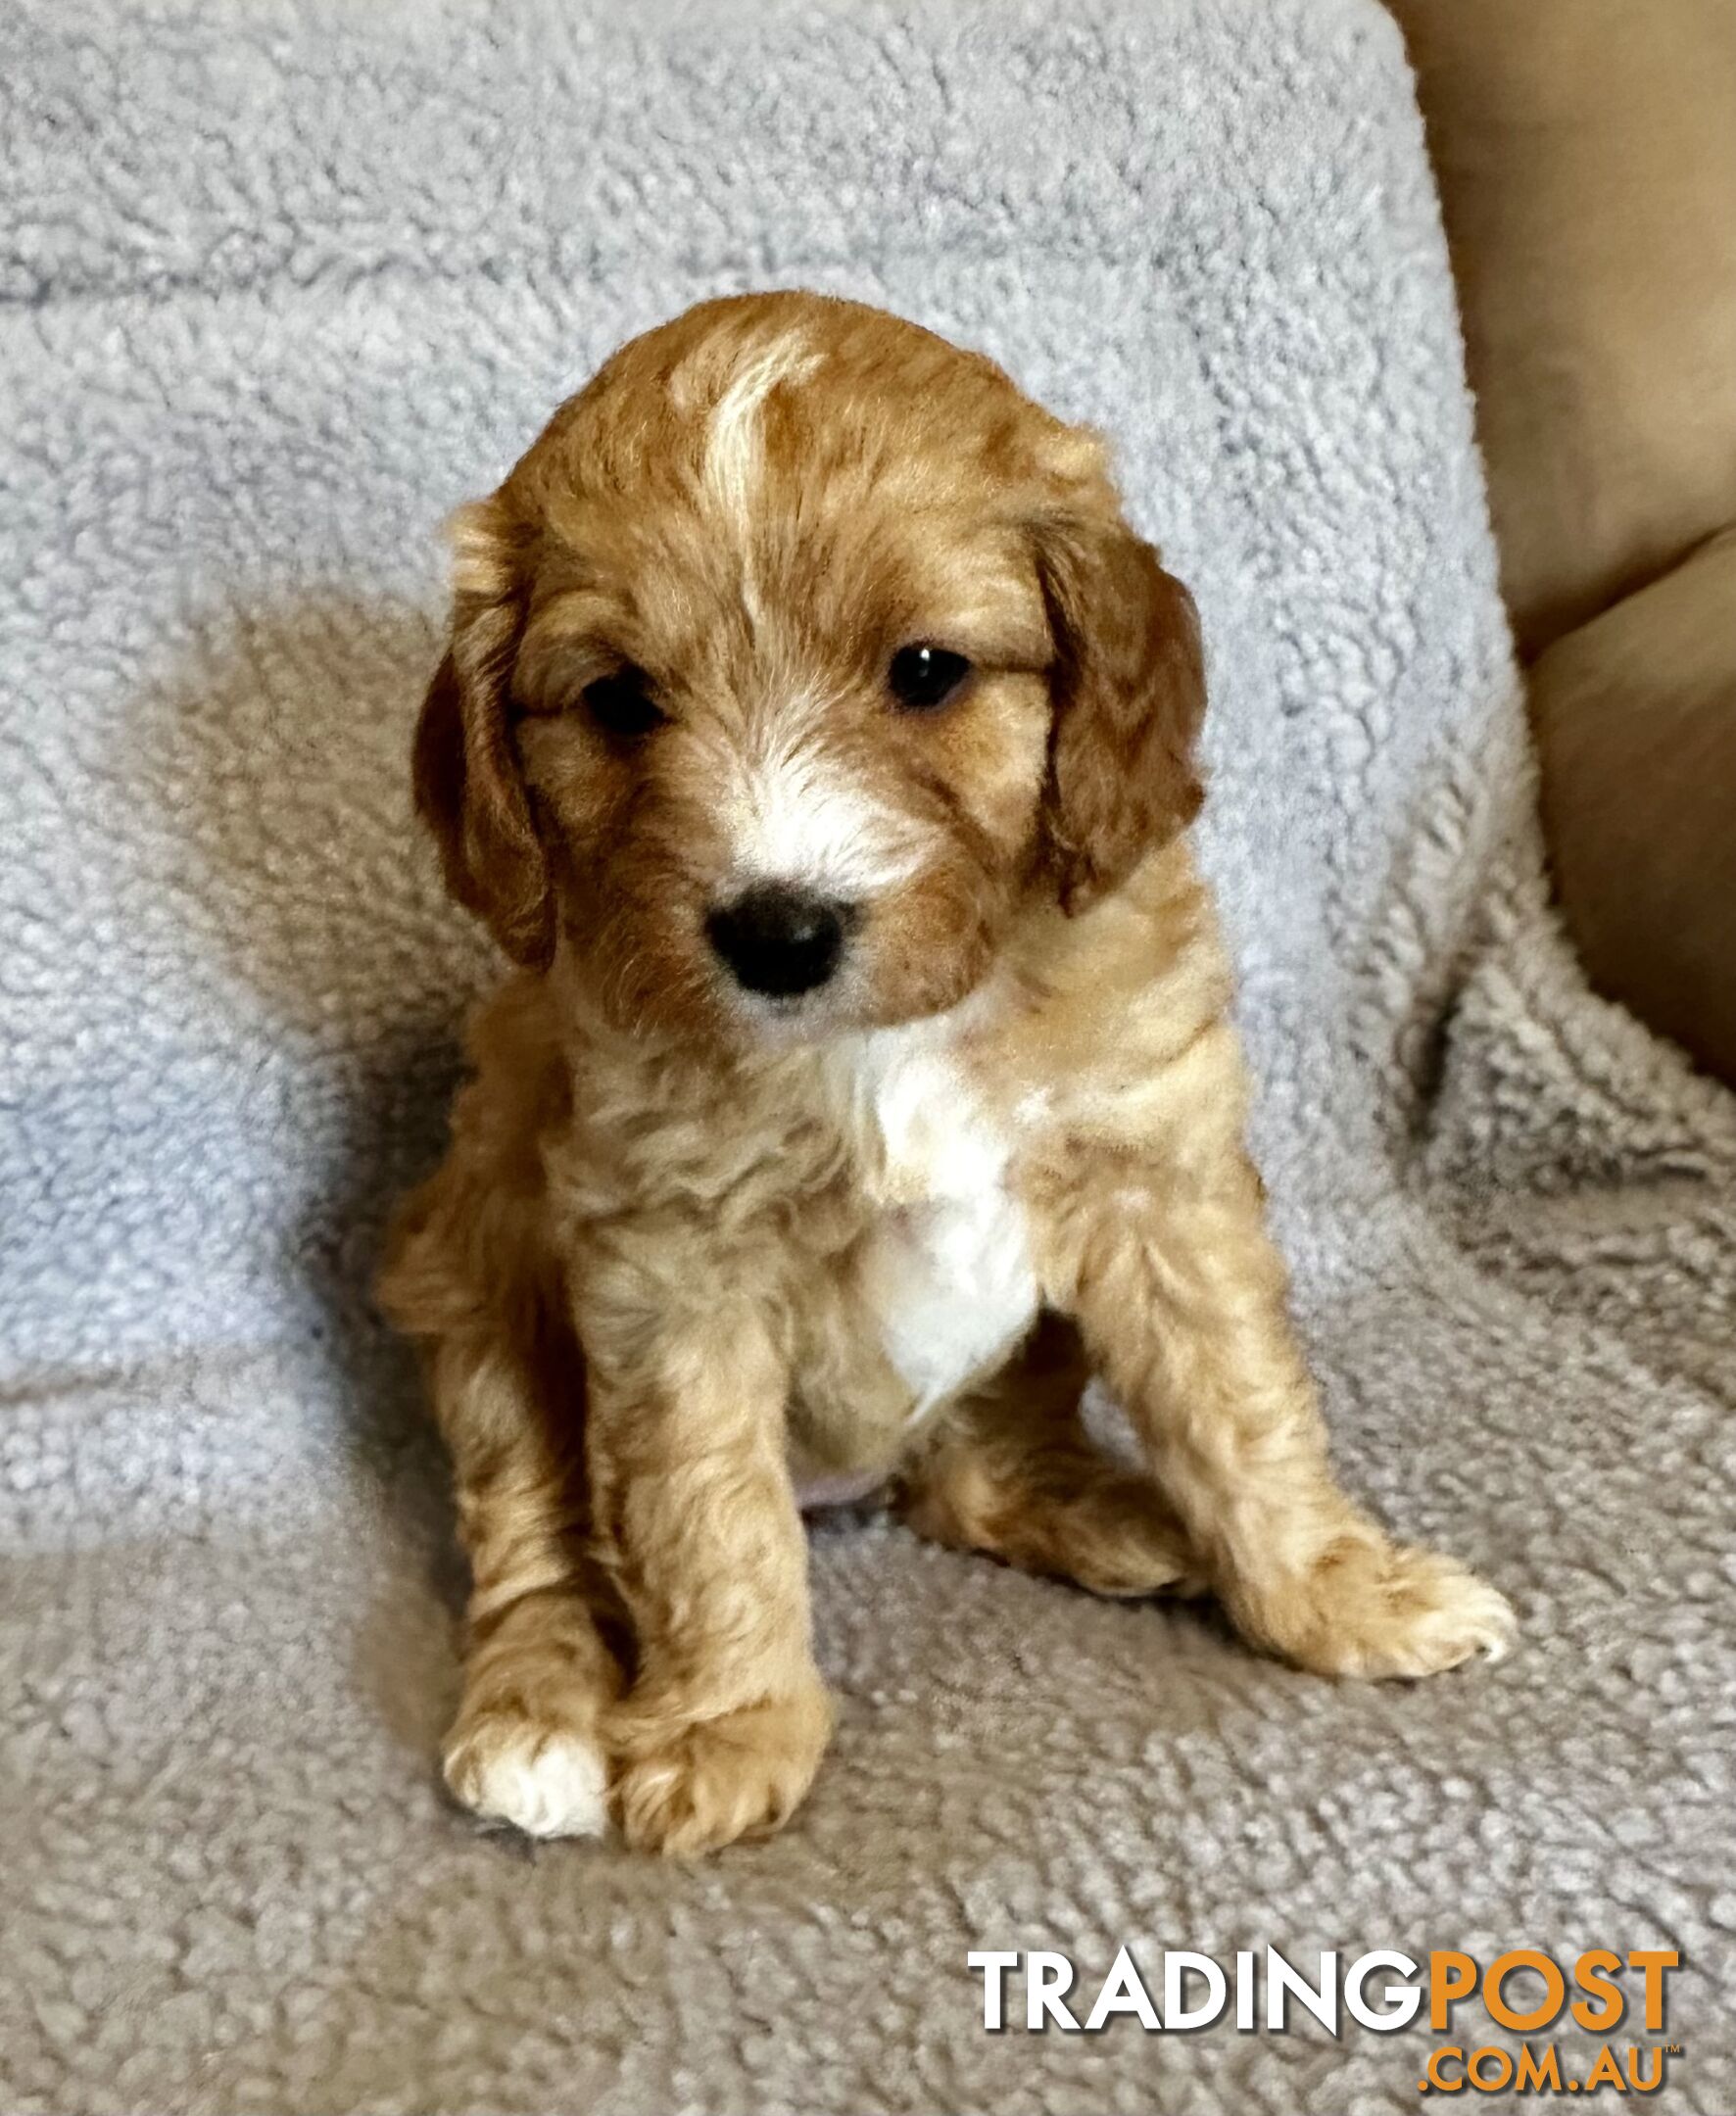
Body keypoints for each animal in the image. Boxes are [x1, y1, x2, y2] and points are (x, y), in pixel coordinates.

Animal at [376, 294, 1507, 1853]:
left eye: (925, 672)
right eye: (616, 702)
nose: (775, 932)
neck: (890, 1035)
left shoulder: (1156, 1172)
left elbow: (1241, 1402)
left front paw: (1335, 1593)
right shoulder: (669, 1262)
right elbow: (701, 1511)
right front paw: (729, 1725)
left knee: (971, 1472)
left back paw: (1123, 1521)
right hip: (477, 1289)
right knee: (536, 1527)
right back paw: (536, 1718)